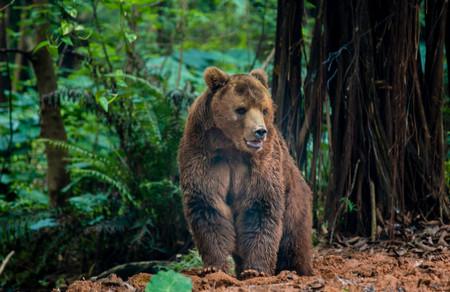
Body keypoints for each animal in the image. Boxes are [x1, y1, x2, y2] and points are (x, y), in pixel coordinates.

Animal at [177, 67, 312, 280]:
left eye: (264, 109)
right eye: (241, 109)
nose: (260, 131)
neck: (230, 144)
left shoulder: (261, 162)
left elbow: (260, 207)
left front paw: (255, 270)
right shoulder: (203, 154)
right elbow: (208, 206)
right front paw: (213, 267)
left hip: (295, 202)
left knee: (294, 241)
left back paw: (295, 269)